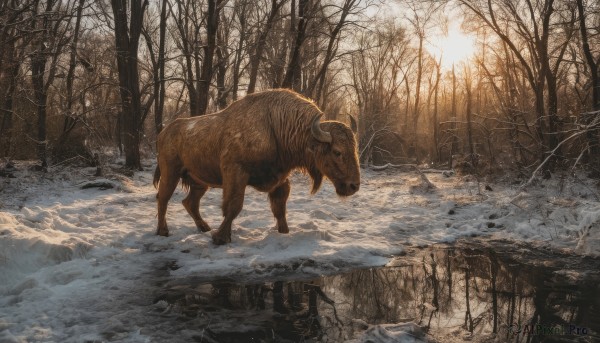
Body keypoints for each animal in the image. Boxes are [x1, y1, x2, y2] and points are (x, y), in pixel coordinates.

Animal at [155, 88, 360, 245]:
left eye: (355, 149)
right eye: (337, 152)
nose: (353, 186)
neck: (276, 126)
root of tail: (164, 132)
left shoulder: (280, 180)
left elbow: (280, 209)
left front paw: (284, 232)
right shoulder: (236, 173)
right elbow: (234, 206)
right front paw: (221, 238)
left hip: (199, 181)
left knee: (190, 202)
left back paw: (203, 227)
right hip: (171, 173)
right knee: (163, 199)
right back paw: (163, 231)